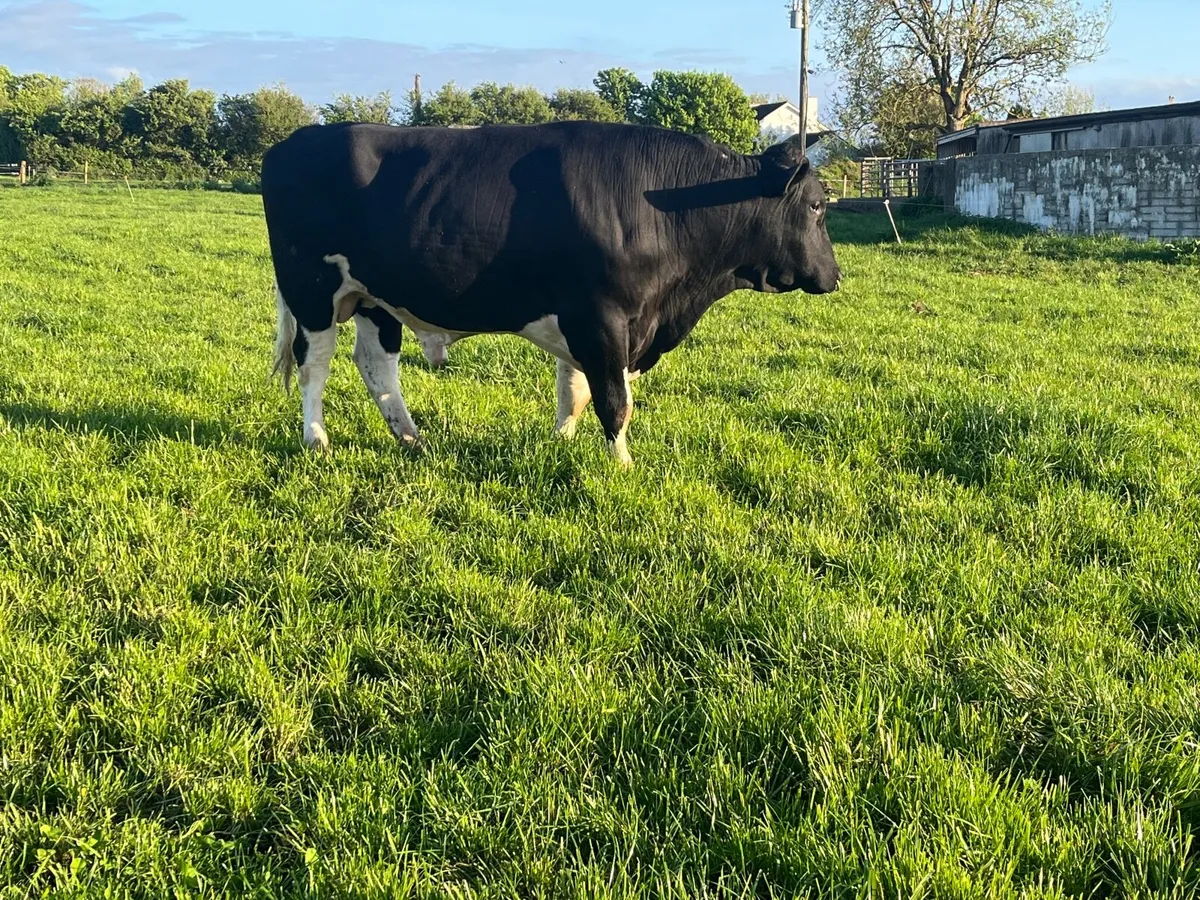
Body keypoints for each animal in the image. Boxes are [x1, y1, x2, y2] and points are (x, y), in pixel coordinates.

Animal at [262, 120, 841, 466]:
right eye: (816, 206)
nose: (835, 276)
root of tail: (294, 141)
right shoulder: (602, 317)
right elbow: (613, 399)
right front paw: (622, 465)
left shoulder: (594, 322)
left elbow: (575, 390)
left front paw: (560, 442)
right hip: (313, 290)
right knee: (314, 364)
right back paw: (317, 439)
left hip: (375, 298)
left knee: (376, 364)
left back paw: (410, 436)